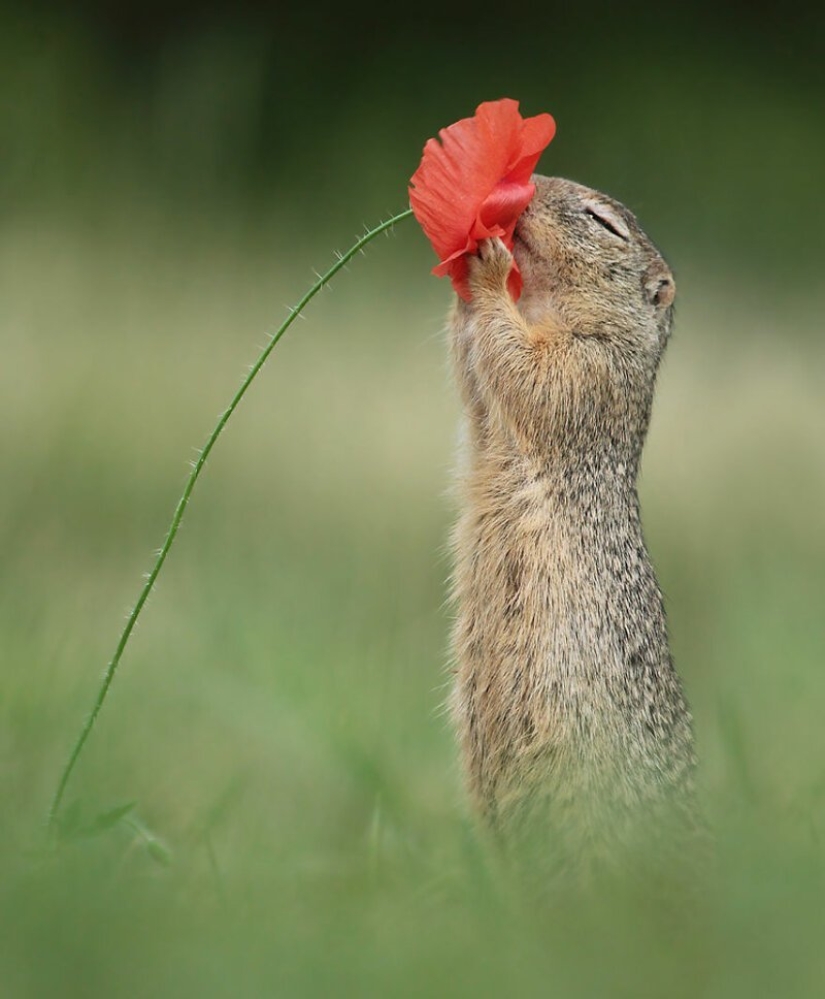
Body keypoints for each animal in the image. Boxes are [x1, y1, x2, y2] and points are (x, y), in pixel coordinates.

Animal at [448, 178, 700, 876]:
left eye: (602, 222)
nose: (528, 187)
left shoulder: (591, 369)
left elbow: (530, 373)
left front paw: (488, 270)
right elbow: (477, 383)